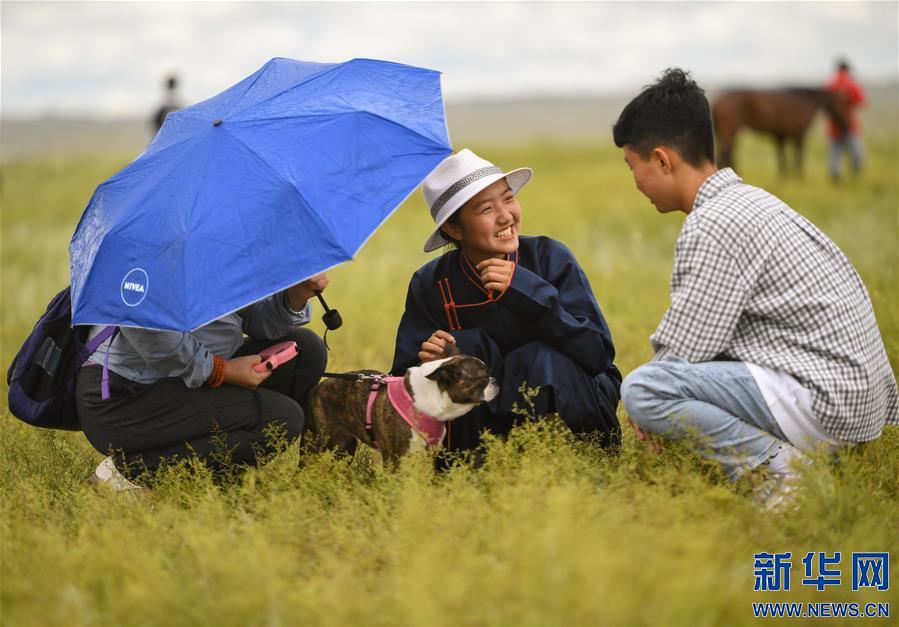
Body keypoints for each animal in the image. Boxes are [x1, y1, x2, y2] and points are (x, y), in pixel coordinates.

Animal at [306, 354, 496, 466]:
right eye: (484, 377)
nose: (495, 380)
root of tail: (316, 387)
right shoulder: (395, 456)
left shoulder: (426, 454)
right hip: (319, 443)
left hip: (345, 446)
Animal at [712, 89, 852, 177]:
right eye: (842, 103)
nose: (847, 124)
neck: (804, 102)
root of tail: (718, 101)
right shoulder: (798, 135)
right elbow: (798, 156)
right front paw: (799, 177)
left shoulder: (781, 136)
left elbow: (783, 157)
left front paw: (785, 177)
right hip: (730, 131)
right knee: (726, 152)